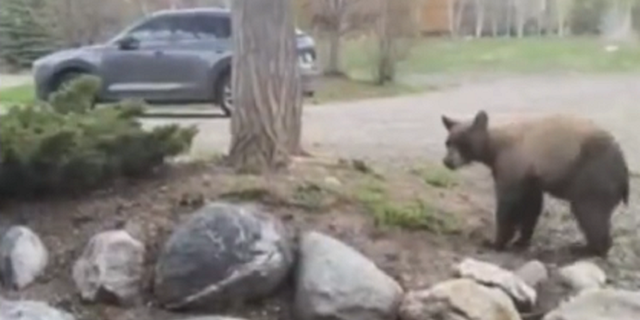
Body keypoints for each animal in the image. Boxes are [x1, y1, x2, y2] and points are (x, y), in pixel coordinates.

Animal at [442, 110, 628, 258]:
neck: (494, 149)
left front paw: (495, 242)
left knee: (590, 213)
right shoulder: (531, 178)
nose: (447, 161)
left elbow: (508, 205)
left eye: (462, 142)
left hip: (593, 176)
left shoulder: (512, 165)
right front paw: (521, 240)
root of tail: (623, 167)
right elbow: (531, 206)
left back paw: (588, 249)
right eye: (448, 142)